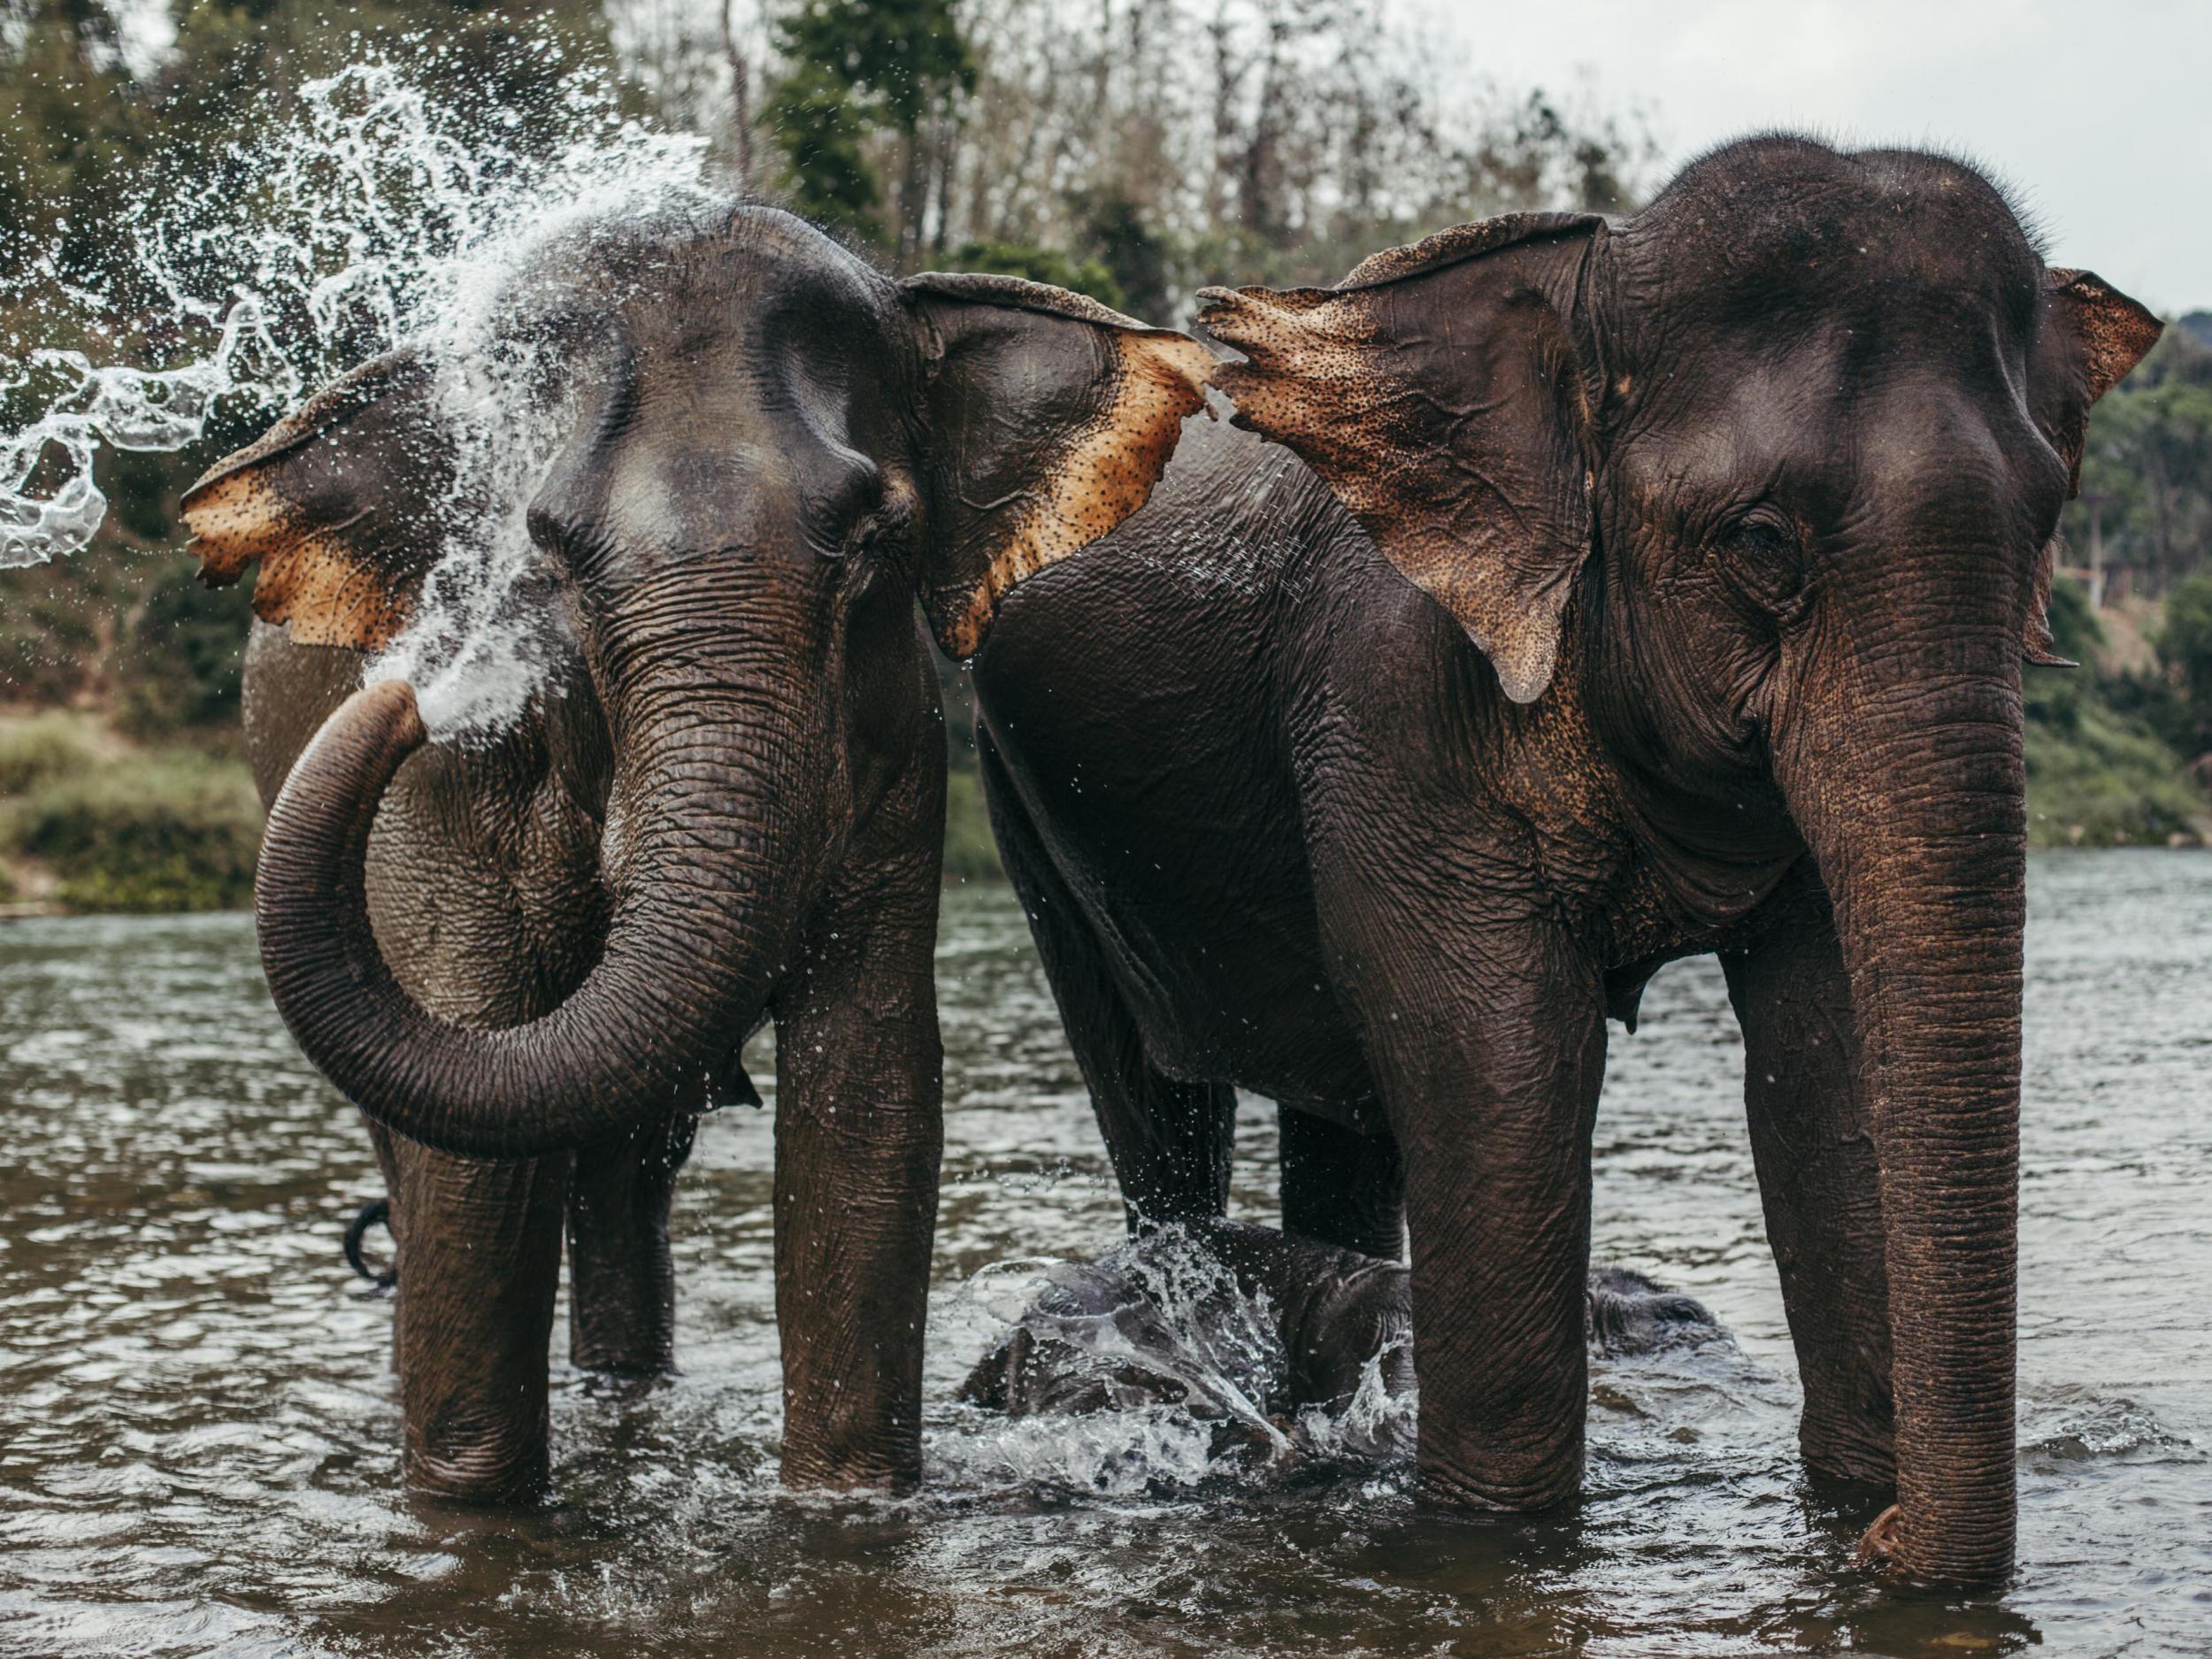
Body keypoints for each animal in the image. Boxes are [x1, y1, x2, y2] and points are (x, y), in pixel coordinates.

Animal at [181, 201, 1221, 1504]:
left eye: (874, 538)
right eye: (545, 553)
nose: (416, 694)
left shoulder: (894, 755)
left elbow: (867, 1099)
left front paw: (846, 1504)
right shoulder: (449, 795)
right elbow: (471, 1147)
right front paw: (468, 1508)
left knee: (625, 1171)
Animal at [969, 140, 2159, 1584]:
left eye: (2048, 525)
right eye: (1762, 542)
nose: (1882, 1548)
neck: (1588, 280)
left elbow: (1827, 1060)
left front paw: (1850, 1501)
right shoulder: (1392, 698)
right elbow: (1501, 1058)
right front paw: (1498, 1534)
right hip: (1021, 797)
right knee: (1157, 1094)